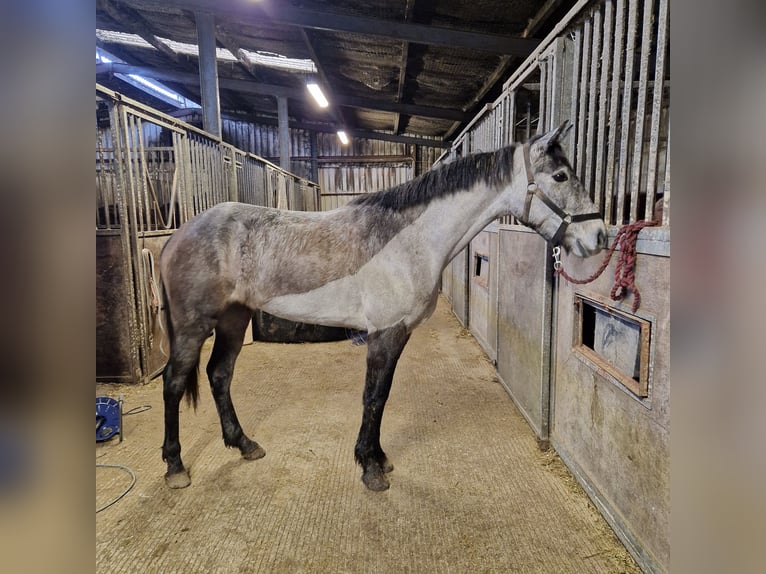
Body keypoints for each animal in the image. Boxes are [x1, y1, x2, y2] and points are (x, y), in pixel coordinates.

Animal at [158, 121, 607, 491]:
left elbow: (383, 396)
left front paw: (377, 458)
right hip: (193, 326)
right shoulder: (384, 333)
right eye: (561, 175)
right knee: (174, 384)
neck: (410, 241)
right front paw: (370, 468)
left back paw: (245, 444)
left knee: (219, 376)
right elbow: (373, 397)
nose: (599, 236)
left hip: (234, 319)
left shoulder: (398, 333)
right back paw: (176, 467)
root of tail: (178, 235)